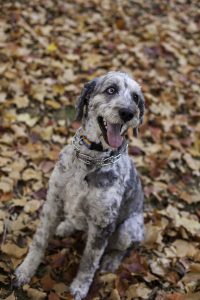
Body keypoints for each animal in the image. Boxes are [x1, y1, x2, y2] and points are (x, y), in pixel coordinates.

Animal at [14, 71, 145, 298]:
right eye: (111, 89)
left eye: (136, 98)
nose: (128, 113)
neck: (89, 162)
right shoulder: (53, 202)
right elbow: (39, 241)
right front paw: (25, 271)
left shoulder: (103, 223)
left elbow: (89, 261)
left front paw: (79, 287)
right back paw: (65, 226)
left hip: (129, 227)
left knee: (124, 248)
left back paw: (111, 260)